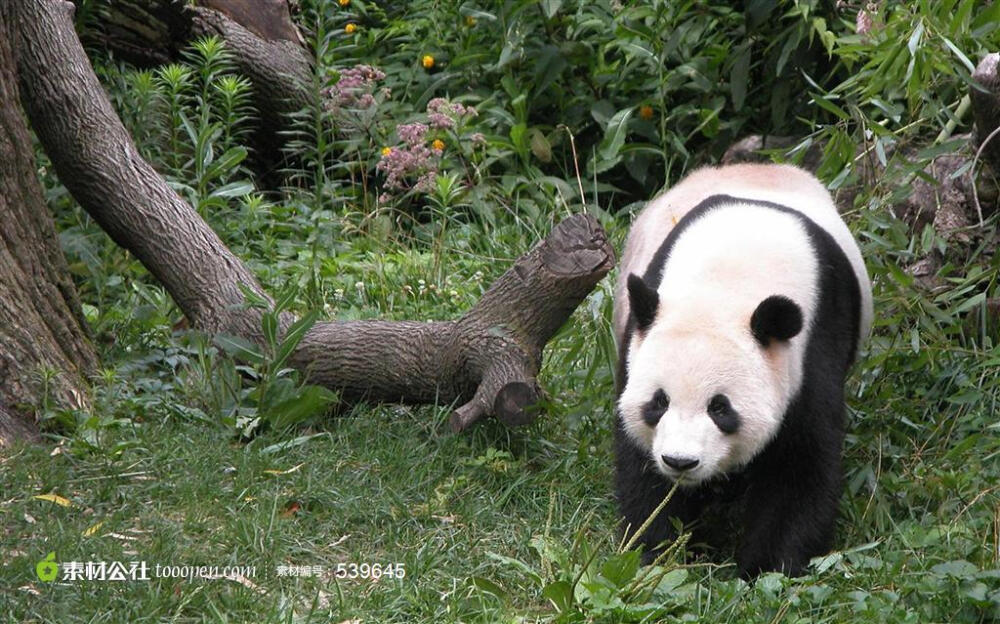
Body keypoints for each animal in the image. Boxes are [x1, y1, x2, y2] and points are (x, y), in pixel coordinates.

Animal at [612, 163, 872, 576]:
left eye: (720, 408)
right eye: (659, 402)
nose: (680, 461)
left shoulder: (814, 345)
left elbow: (798, 466)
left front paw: (766, 568)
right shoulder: (637, 347)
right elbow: (642, 466)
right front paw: (657, 552)